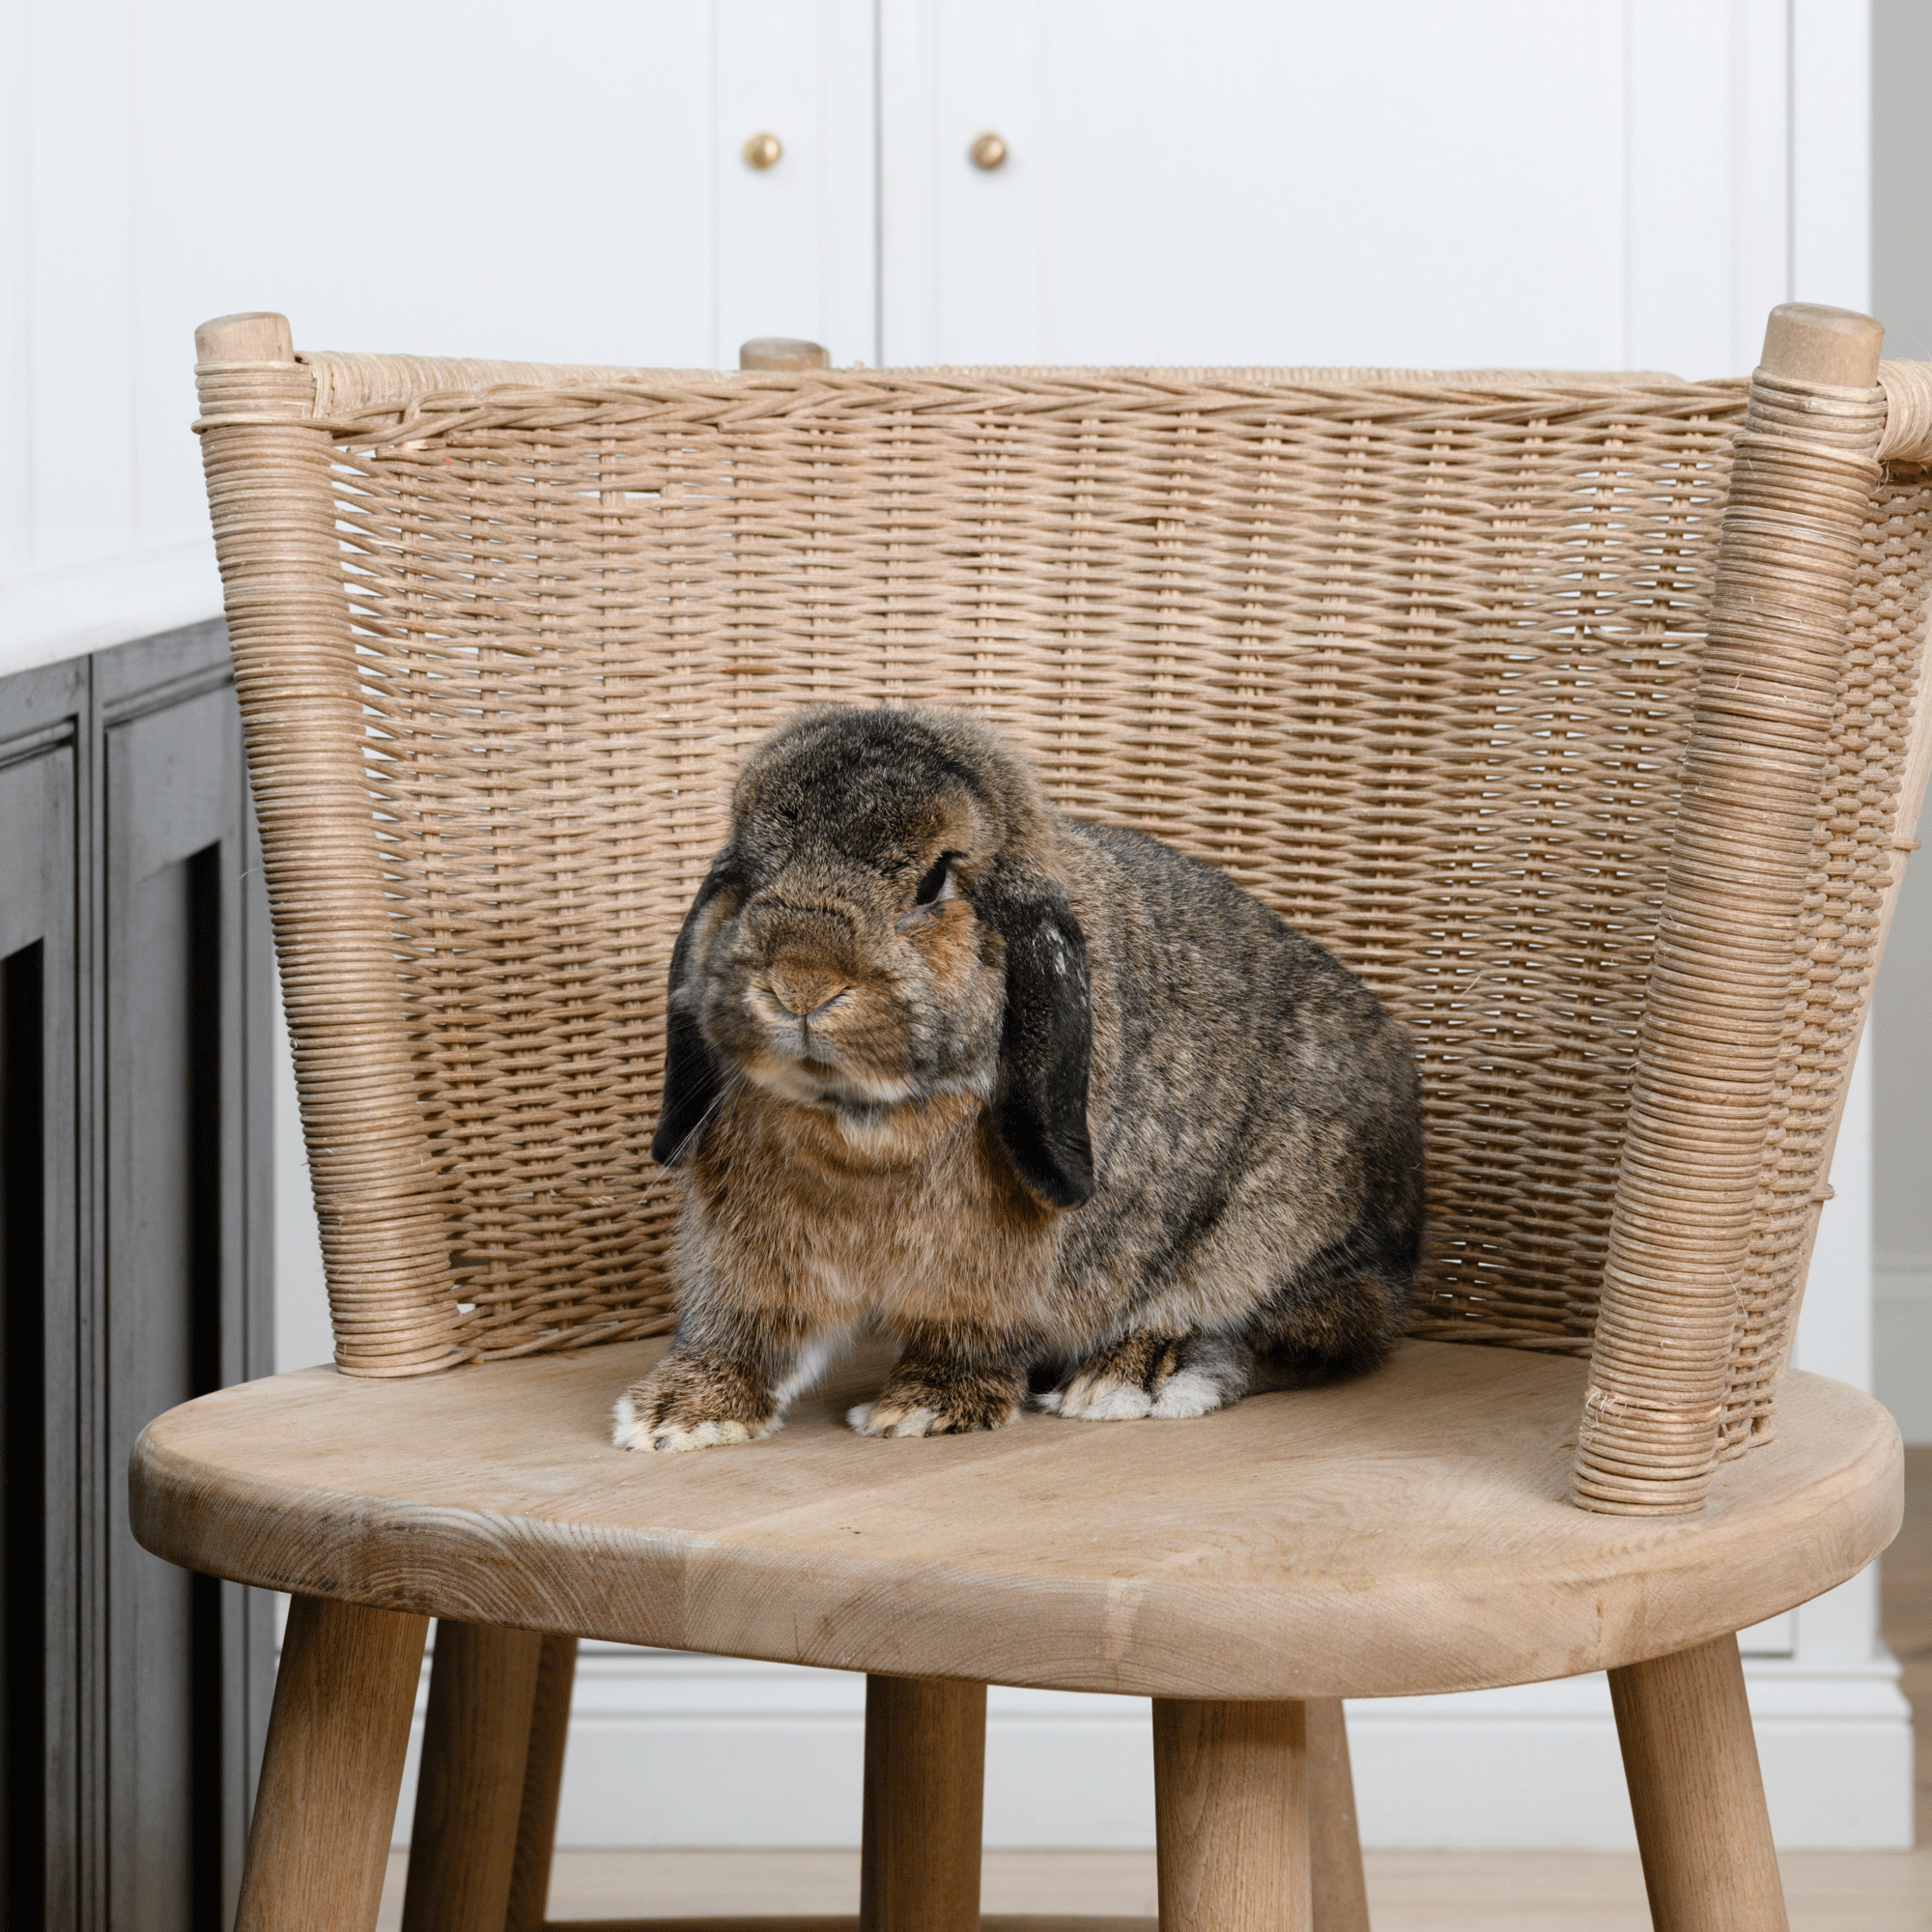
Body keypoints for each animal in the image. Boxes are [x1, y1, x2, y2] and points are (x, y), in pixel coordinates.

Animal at [612, 703, 1424, 1452]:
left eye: (935, 881)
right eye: (750, 873)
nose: (799, 986)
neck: (859, 1117)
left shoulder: (994, 1272)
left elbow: (969, 1333)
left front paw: (925, 1407)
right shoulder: (750, 1260)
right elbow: (744, 1328)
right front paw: (679, 1414)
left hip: (1277, 1241)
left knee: (1312, 1336)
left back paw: (1136, 1374)